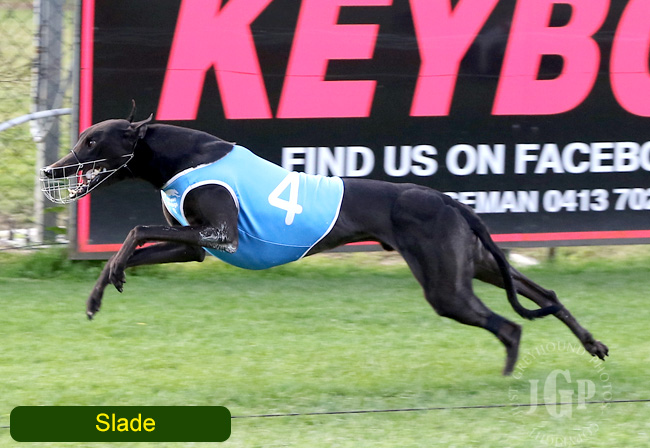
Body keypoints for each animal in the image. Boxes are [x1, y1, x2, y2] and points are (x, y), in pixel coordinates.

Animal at [40, 108, 608, 375]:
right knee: (546, 294)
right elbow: (137, 244)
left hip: (446, 285)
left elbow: (135, 231)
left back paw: (510, 375)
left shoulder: (219, 234)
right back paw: (592, 343)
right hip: (475, 264)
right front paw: (100, 291)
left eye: (92, 141)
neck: (178, 155)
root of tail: (447, 199)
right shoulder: (194, 246)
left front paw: (113, 275)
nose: (52, 169)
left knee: (509, 325)